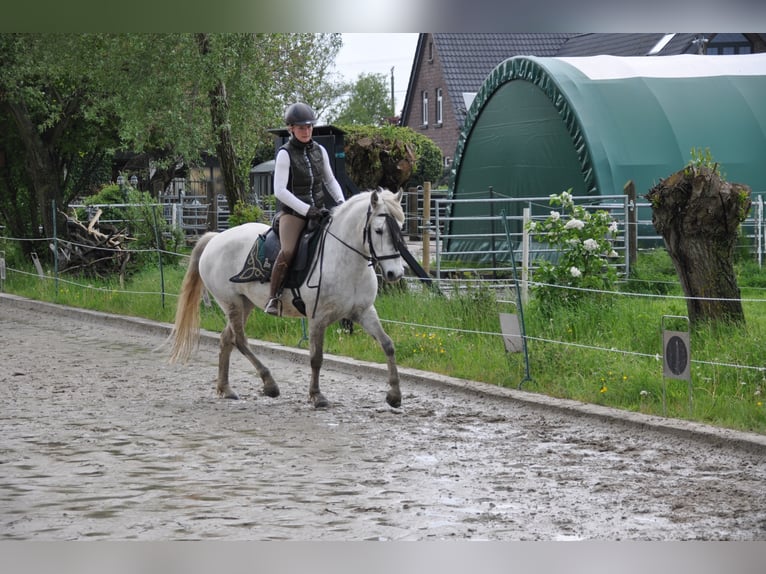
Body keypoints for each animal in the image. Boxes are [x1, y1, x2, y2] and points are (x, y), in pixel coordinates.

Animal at [168, 189, 408, 410]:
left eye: (401, 227)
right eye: (378, 230)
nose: (394, 274)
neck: (346, 259)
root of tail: (215, 238)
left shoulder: (364, 312)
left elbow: (388, 345)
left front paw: (395, 395)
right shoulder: (318, 317)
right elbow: (316, 357)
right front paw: (316, 396)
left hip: (244, 304)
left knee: (227, 338)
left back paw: (226, 389)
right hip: (231, 302)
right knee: (239, 340)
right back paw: (269, 384)